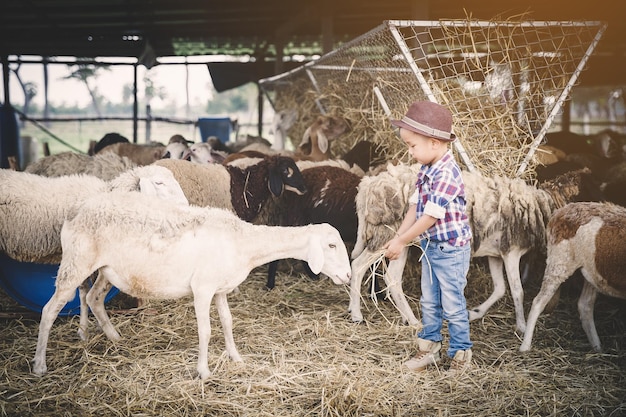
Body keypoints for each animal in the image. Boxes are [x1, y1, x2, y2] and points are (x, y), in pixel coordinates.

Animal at [33, 190, 352, 378]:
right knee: (50, 311)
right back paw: (39, 365)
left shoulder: (220, 288)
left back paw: (115, 338)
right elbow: (206, 330)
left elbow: (227, 322)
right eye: (332, 245)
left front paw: (236, 358)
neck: (244, 242)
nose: (348, 277)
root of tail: (75, 210)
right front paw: (204, 371)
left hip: (106, 269)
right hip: (76, 262)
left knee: (93, 299)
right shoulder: (203, 288)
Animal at [516, 202, 624, 352]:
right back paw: (525, 346)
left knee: (585, 305)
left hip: (592, 272)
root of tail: (562, 210)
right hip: (559, 263)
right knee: (538, 302)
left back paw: (597, 347)